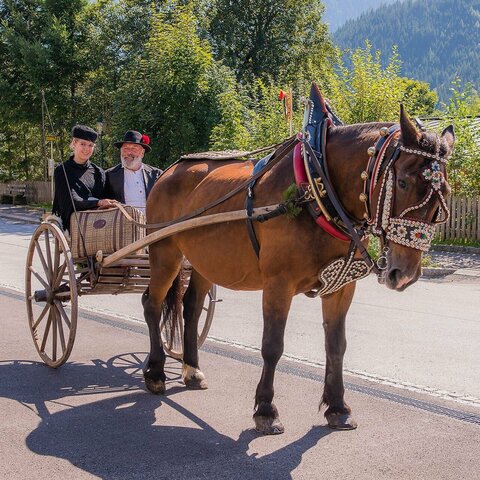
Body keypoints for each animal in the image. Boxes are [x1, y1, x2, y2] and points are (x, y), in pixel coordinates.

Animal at [142, 107, 454, 434]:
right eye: (403, 182)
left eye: (445, 190)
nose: (404, 272)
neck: (317, 190)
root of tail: (169, 171)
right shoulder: (278, 284)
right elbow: (272, 346)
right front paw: (266, 410)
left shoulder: (341, 287)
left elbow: (336, 345)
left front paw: (338, 407)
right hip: (165, 252)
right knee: (152, 303)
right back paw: (156, 372)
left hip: (204, 261)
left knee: (190, 307)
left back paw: (192, 370)